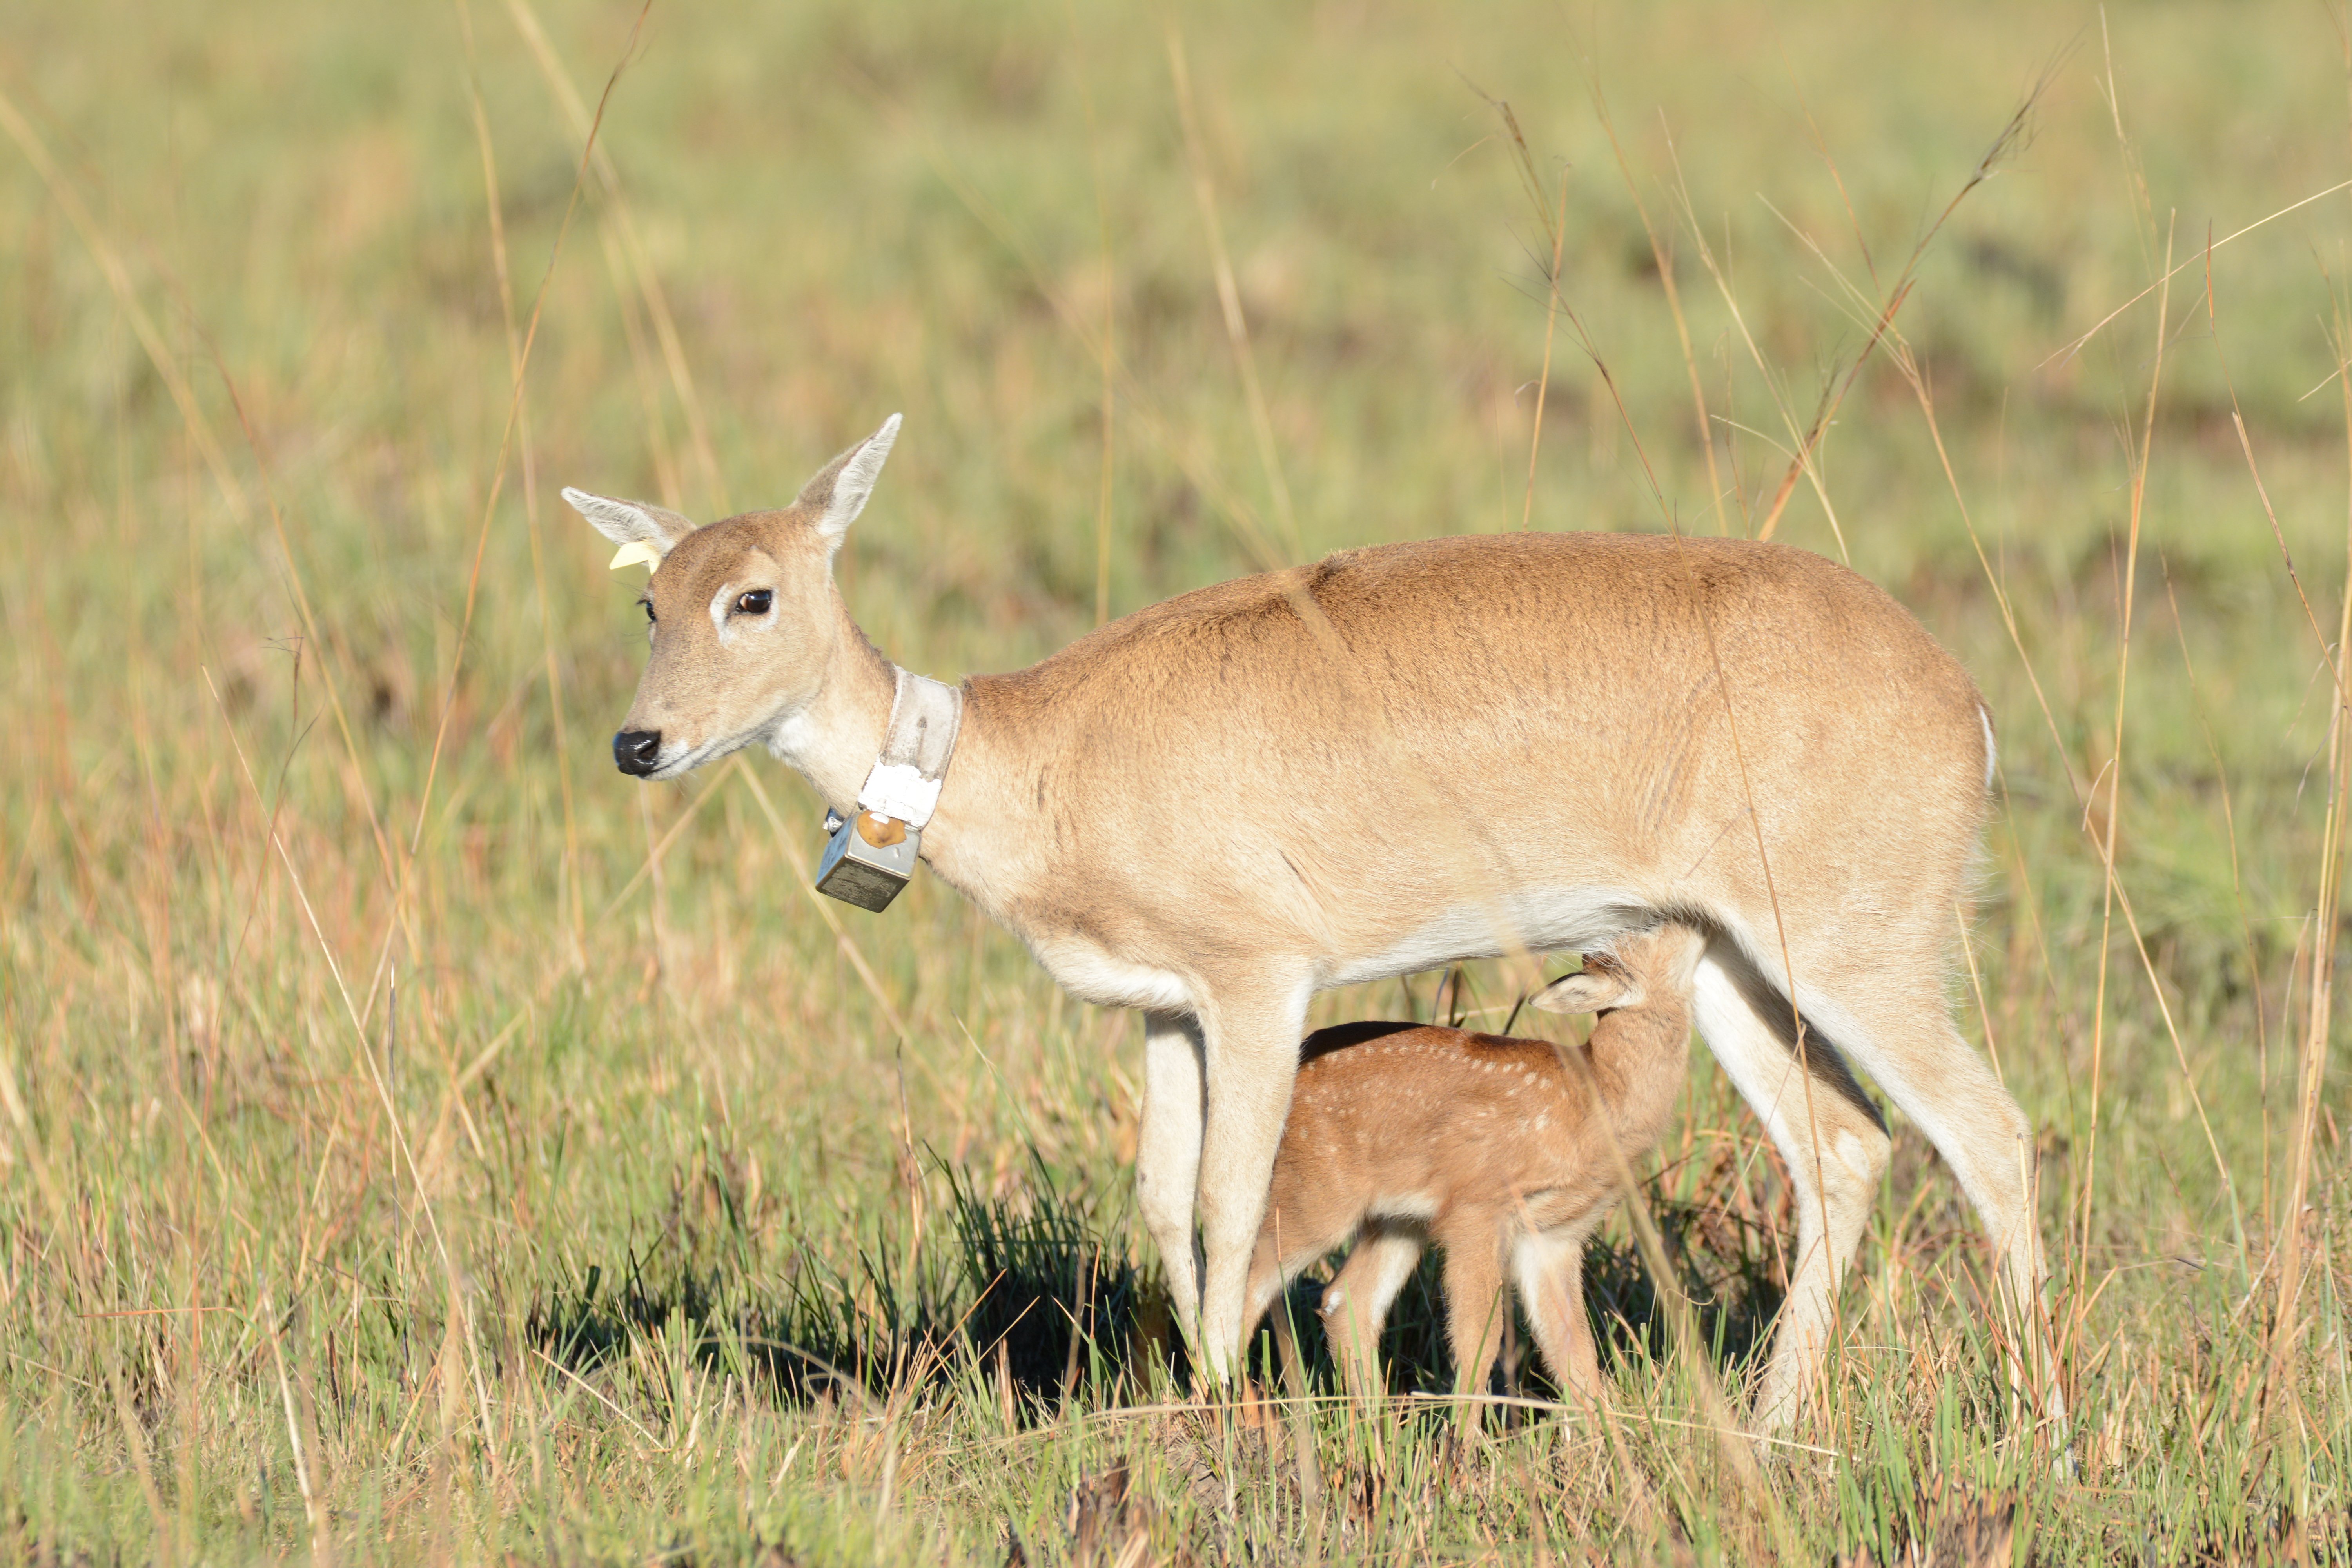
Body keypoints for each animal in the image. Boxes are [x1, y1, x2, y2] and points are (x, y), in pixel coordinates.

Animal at [569, 416, 2060, 1439]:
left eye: (753, 594)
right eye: (647, 598)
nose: (640, 742)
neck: (1034, 756)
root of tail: (1962, 696)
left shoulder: (1261, 984)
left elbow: (1233, 1201)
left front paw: (1225, 1420)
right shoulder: (1166, 1011)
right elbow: (1163, 1202)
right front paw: (1198, 1395)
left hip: (1857, 951)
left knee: (1989, 1133)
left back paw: (2043, 1430)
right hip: (1727, 959)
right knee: (1847, 1144)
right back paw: (1766, 1425)